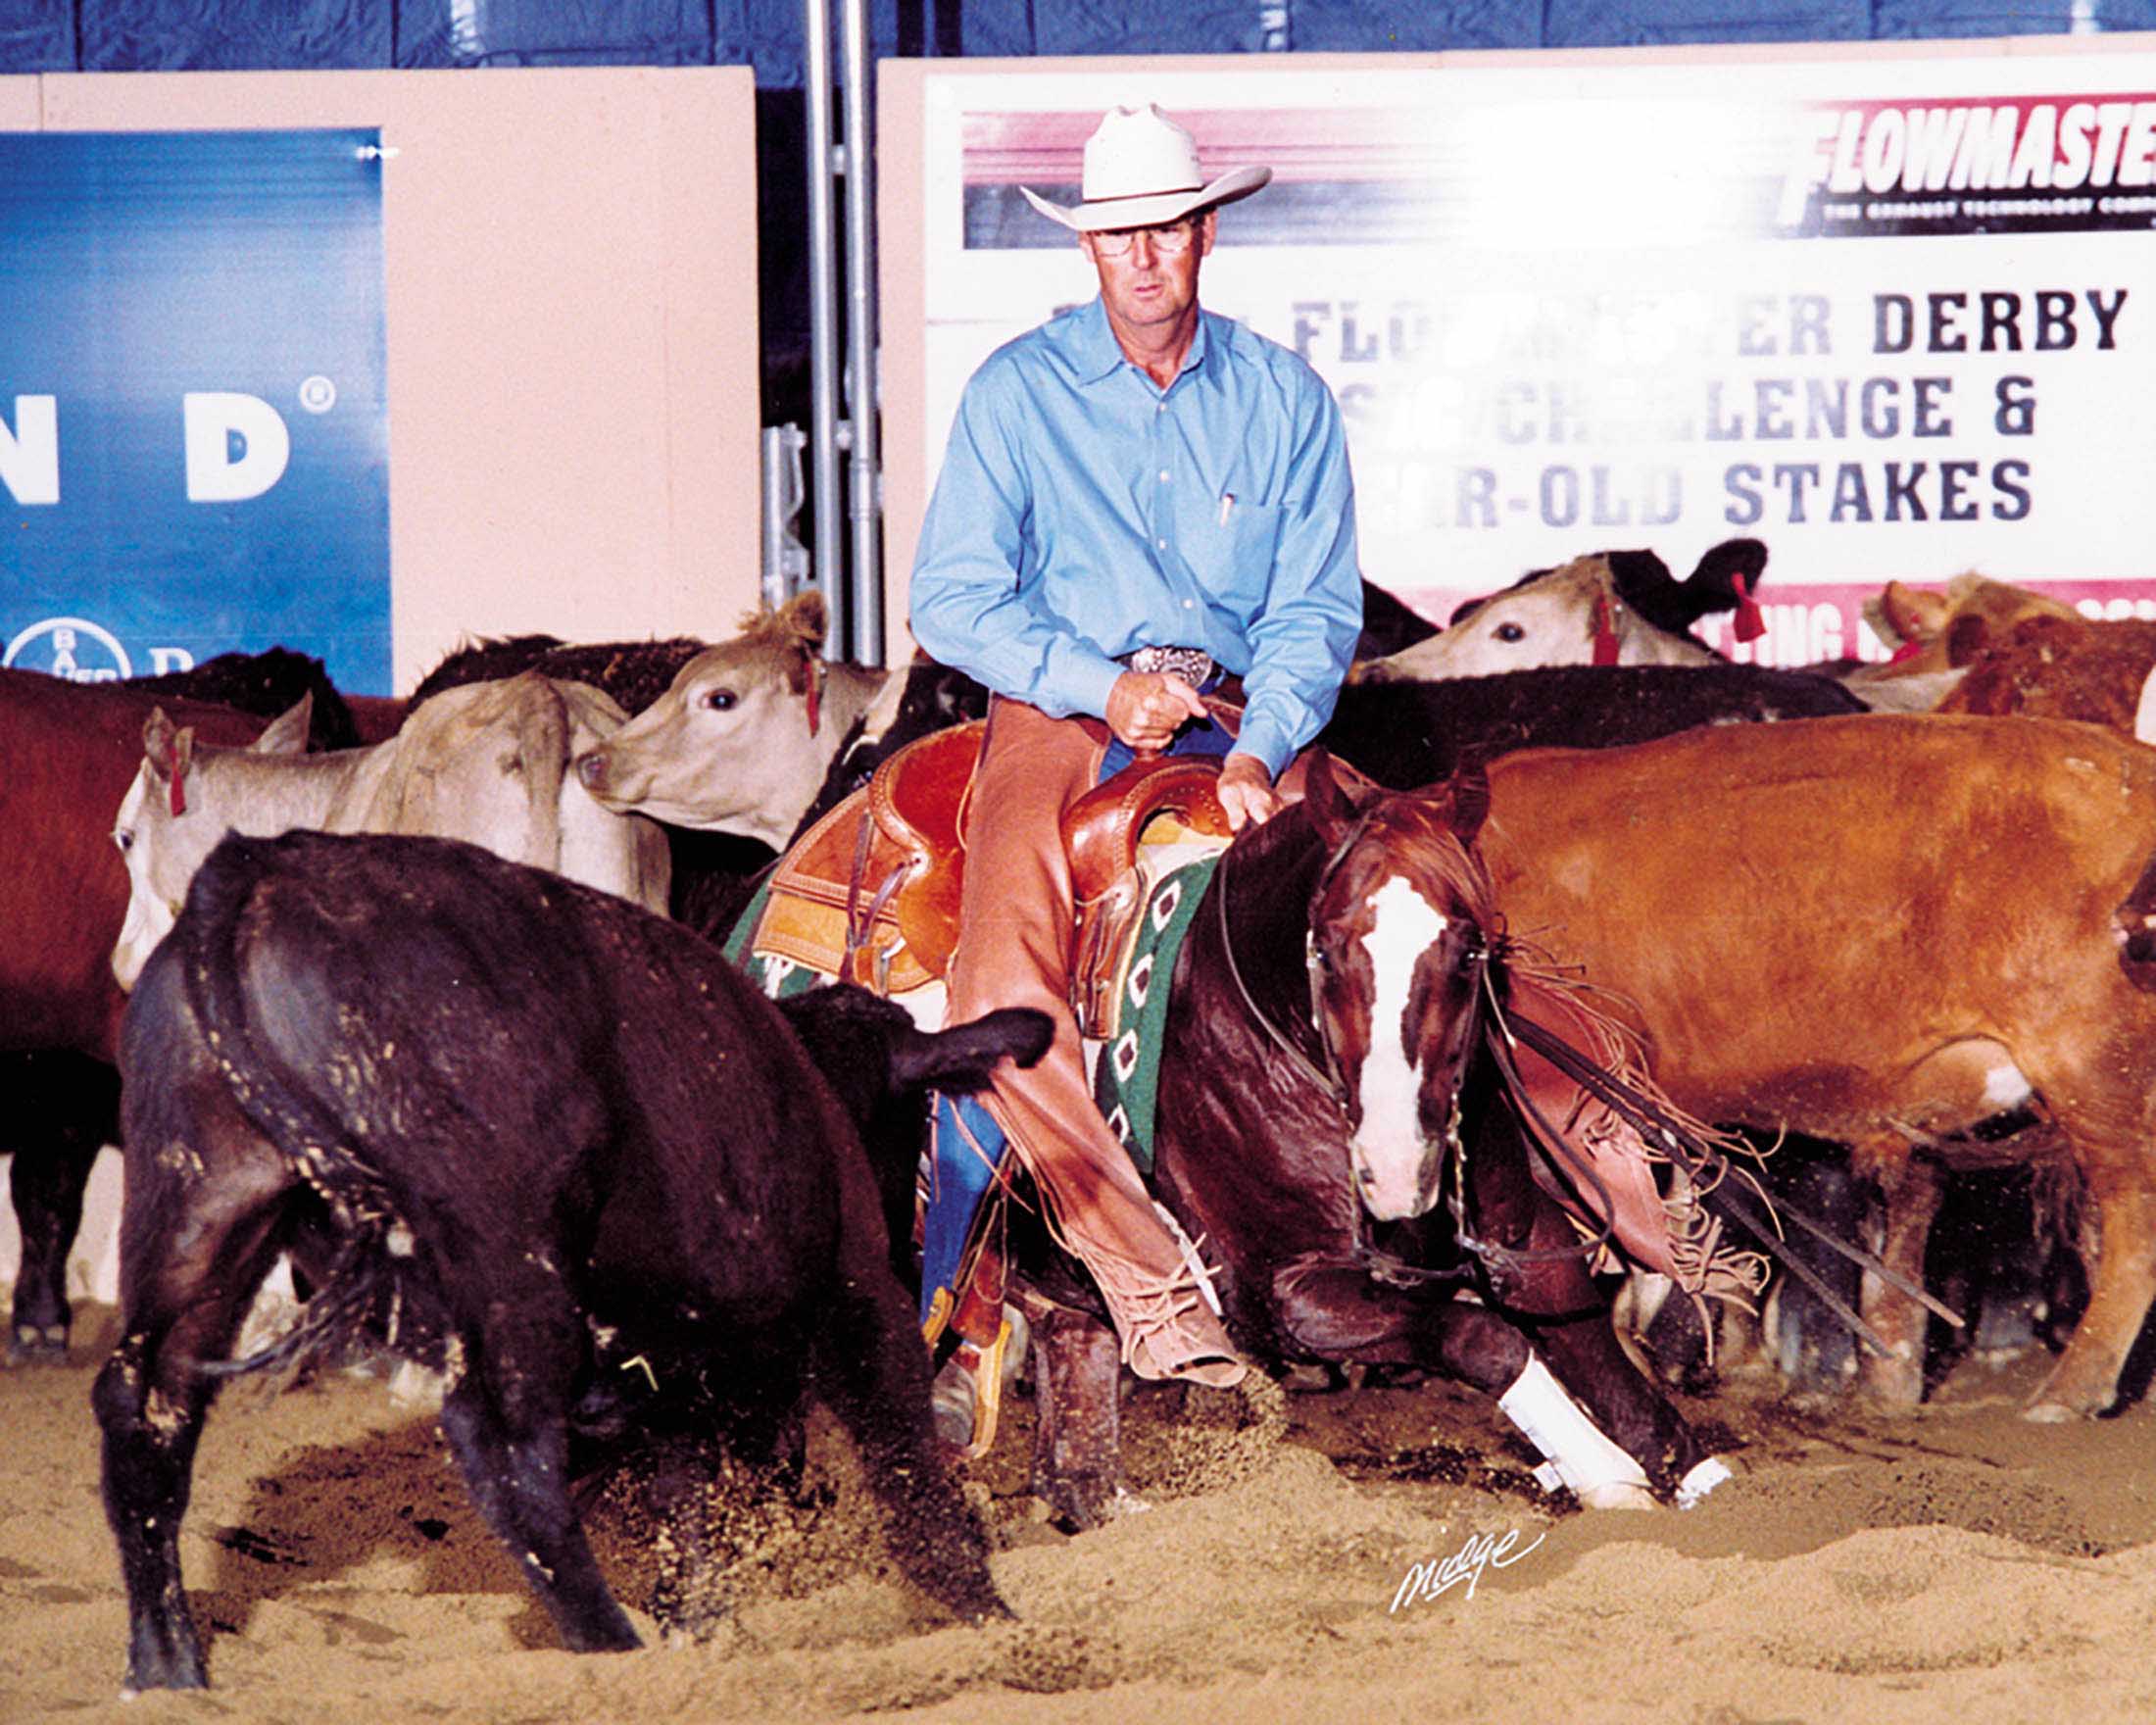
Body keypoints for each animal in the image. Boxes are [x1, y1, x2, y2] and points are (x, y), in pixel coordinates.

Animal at [97, 827, 1048, 1690]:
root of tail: (257, 871)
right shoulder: (851, 1302)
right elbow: (902, 1467)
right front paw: (996, 1622)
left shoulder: (679, 1379)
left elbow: (694, 1513)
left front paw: (703, 1629)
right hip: (507, 1259)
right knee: (509, 1458)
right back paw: (611, 1649)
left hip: (198, 1218)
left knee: (146, 1414)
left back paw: (167, 1668)